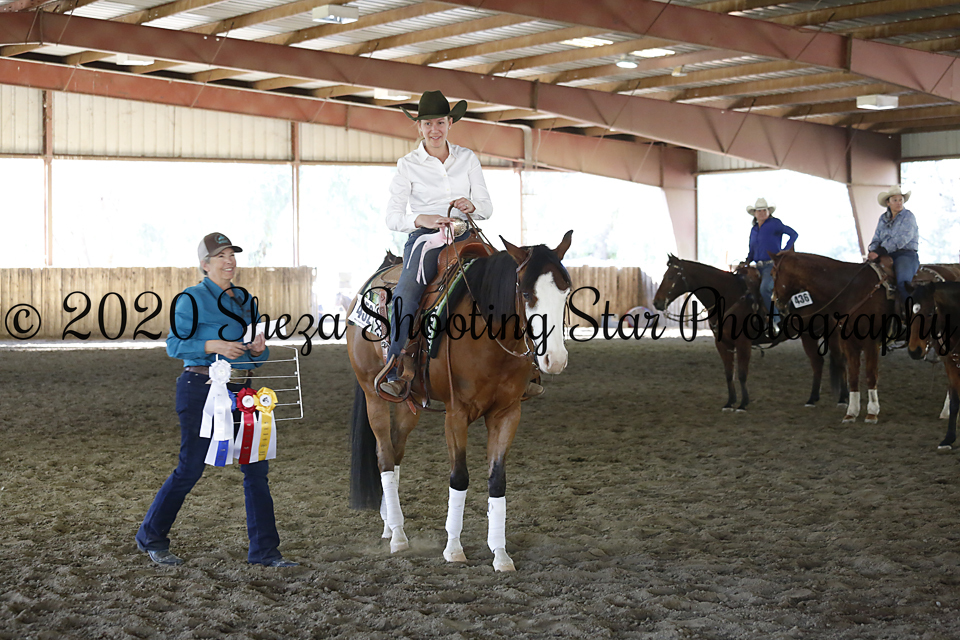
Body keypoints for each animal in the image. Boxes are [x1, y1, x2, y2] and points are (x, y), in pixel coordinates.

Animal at [346, 231, 573, 572]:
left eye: (565, 291)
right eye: (525, 292)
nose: (555, 360)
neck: (490, 334)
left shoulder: (508, 412)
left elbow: (497, 480)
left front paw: (500, 554)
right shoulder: (456, 413)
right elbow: (459, 477)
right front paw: (453, 548)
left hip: (409, 402)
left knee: (395, 453)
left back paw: (390, 524)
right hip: (372, 393)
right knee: (385, 457)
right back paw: (398, 536)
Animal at [652, 255, 846, 411]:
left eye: (670, 276)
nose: (657, 302)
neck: (729, 295)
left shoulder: (743, 343)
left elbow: (742, 373)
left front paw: (743, 404)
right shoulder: (722, 343)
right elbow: (728, 373)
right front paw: (729, 403)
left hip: (833, 334)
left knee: (839, 361)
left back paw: (843, 399)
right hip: (808, 335)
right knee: (817, 362)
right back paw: (812, 399)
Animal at [771, 251, 896, 423]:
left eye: (773, 273)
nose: (776, 301)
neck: (854, 290)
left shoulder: (871, 343)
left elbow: (871, 375)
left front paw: (872, 413)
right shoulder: (848, 342)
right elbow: (853, 375)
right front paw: (851, 413)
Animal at [907, 281, 960, 449]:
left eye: (930, 313)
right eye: (908, 313)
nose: (914, 351)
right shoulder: (950, 365)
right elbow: (955, 401)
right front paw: (948, 439)